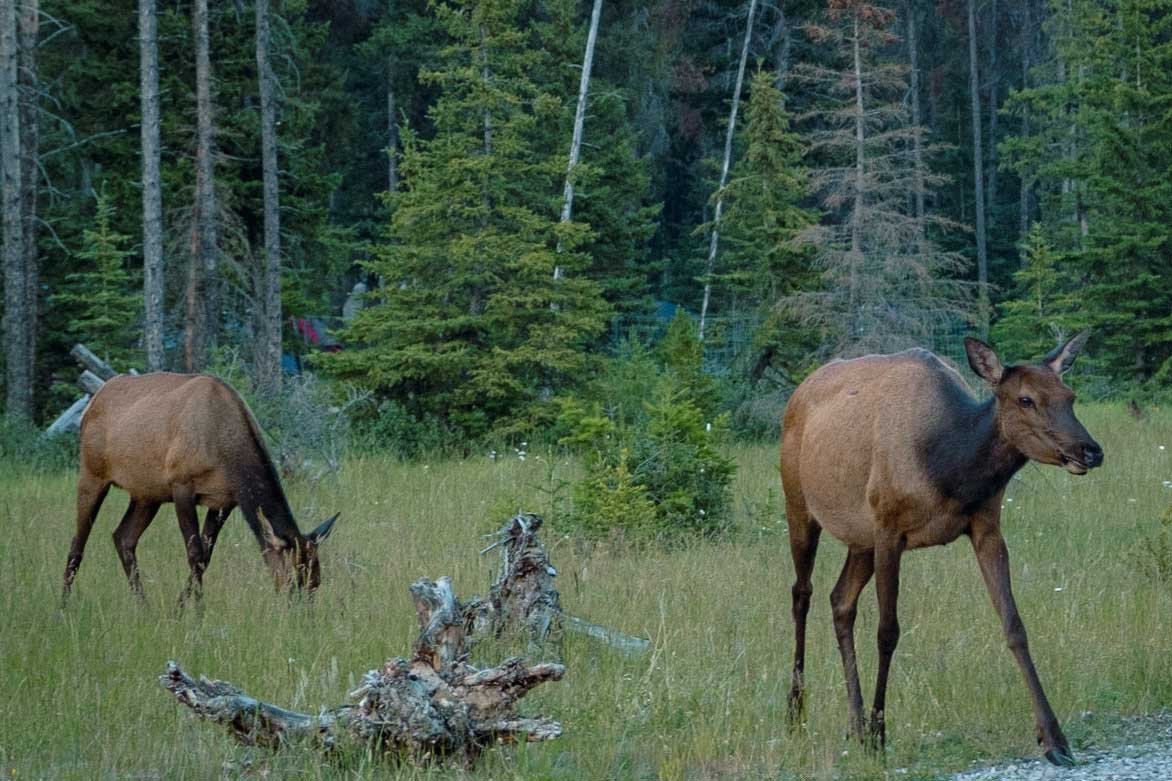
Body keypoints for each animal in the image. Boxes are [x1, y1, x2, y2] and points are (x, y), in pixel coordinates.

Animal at [61, 370, 339, 600]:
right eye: (293, 578)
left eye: (316, 582)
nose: (302, 614)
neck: (226, 452)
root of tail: (93, 401)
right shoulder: (182, 485)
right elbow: (194, 554)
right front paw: (195, 613)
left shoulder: (224, 502)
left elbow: (206, 556)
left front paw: (182, 607)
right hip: (92, 474)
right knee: (77, 543)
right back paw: (63, 606)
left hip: (146, 494)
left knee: (122, 537)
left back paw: (143, 605)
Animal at [782, 330, 1101, 764]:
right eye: (1026, 399)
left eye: (1070, 395)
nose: (1090, 450)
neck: (949, 469)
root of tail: (798, 393)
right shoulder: (889, 529)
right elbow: (887, 632)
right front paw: (881, 733)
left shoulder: (986, 527)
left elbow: (1014, 625)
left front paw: (1054, 738)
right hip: (800, 506)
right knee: (802, 594)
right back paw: (798, 713)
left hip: (859, 539)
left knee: (840, 601)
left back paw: (855, 723)